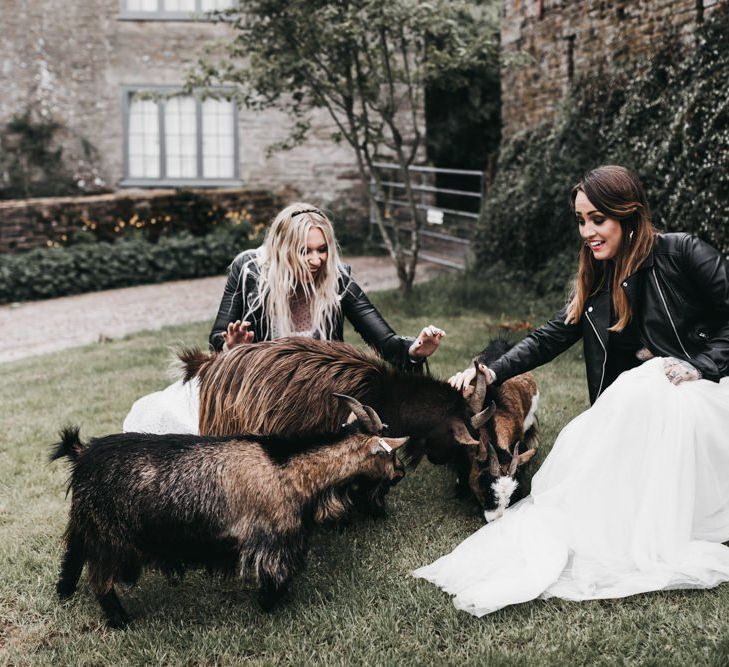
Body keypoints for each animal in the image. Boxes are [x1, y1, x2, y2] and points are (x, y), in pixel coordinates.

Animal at [49, 396, 404, 632]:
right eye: (389, 453)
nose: (400, 473)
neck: (289, 466)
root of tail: (83, 453)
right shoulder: (275, 538)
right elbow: (277, 574)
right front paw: (270, 606)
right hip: (108, 535)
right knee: (99, 578)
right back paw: (120, 620)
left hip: (86, 522)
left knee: (72, 555)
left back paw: (64, 592)